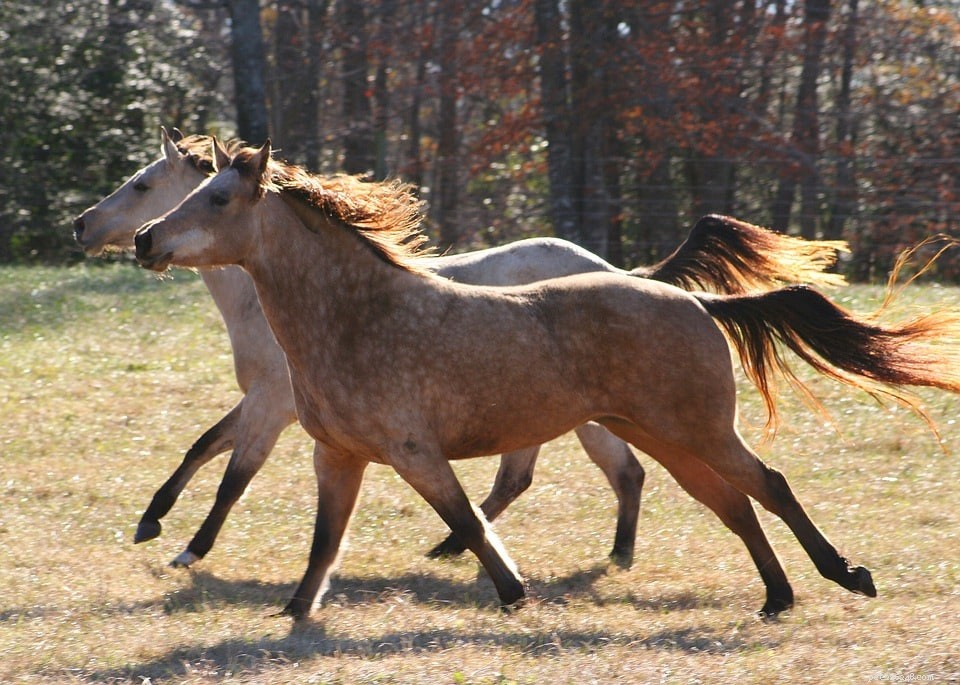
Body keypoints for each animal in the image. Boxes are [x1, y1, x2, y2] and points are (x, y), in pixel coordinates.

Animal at [133, 139, 960, 620]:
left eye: (216, 198)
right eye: (187, 192)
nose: (143, 239)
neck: (358, 316)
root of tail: (696, 300)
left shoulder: (411, 451)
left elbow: (467, 518)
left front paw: (511, 590)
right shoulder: (335, 454)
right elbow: (322, 542)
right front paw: (293, 612)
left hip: (696, 429)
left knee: (770, 486)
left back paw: (845, 576)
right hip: (660, 435)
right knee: (733, 504)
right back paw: (778, 597)